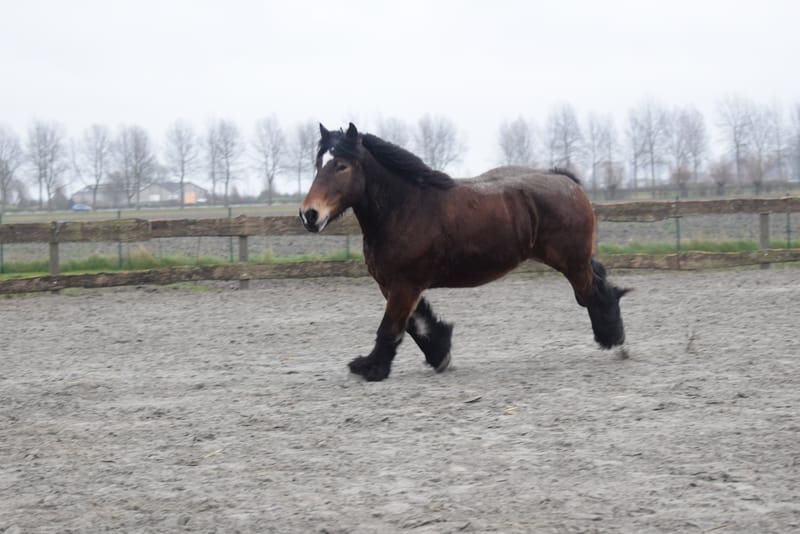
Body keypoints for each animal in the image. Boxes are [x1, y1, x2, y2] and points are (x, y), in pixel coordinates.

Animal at [300, 123, 629, 381]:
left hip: (572, 263)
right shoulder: (394, 285)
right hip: (576, 261)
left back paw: (613, 339)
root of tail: (566, 180)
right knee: (599, 284)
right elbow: (417, 325)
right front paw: (439, 354)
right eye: (318, 163)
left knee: (593, 293)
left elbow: (391, 327)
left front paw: (371, 368)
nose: (309, 214)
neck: (405, 207)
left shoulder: (404, 285)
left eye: (341, 165)